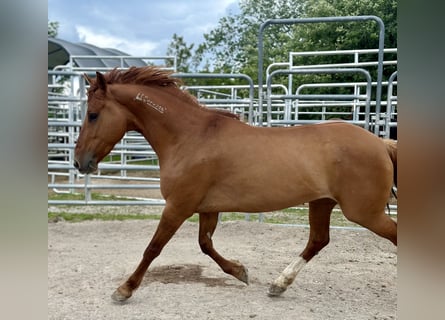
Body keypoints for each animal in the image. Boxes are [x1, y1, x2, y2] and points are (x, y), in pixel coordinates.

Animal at [73, 66, 396, 302]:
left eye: (93, 114)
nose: (79, 162)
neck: (190, 137)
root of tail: (381, 143)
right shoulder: (207, 208)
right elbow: (205, 245)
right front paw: (241, 271)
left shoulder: (178, 206)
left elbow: (153, 248)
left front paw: (124, 290)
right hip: (322, 203)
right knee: (318, 241)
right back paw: (278, 284)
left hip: (363, 212)